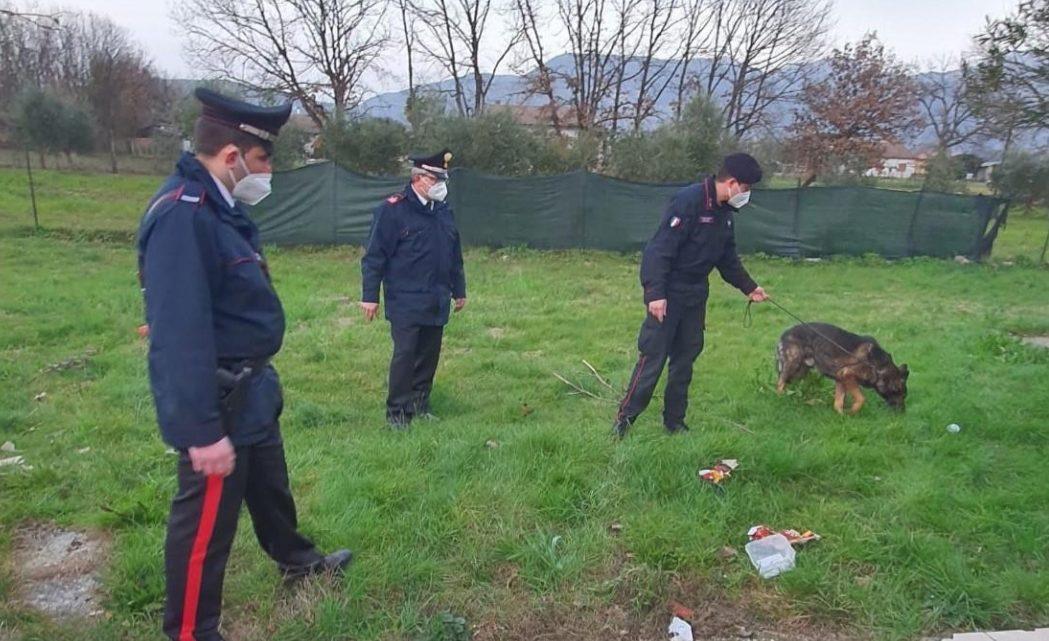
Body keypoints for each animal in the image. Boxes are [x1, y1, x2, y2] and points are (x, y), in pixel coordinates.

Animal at [776, 321, 906, 415]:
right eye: (900, 393)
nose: (903, 412)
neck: (879, 367)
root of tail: (784, 333)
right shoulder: (847, 374)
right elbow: (861, 399)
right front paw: (852, 411)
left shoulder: (840, 378)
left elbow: (838, 403)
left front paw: (842, 415)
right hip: (793, 364)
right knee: (780, 383)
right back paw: (781, 398)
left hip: (800, 371)